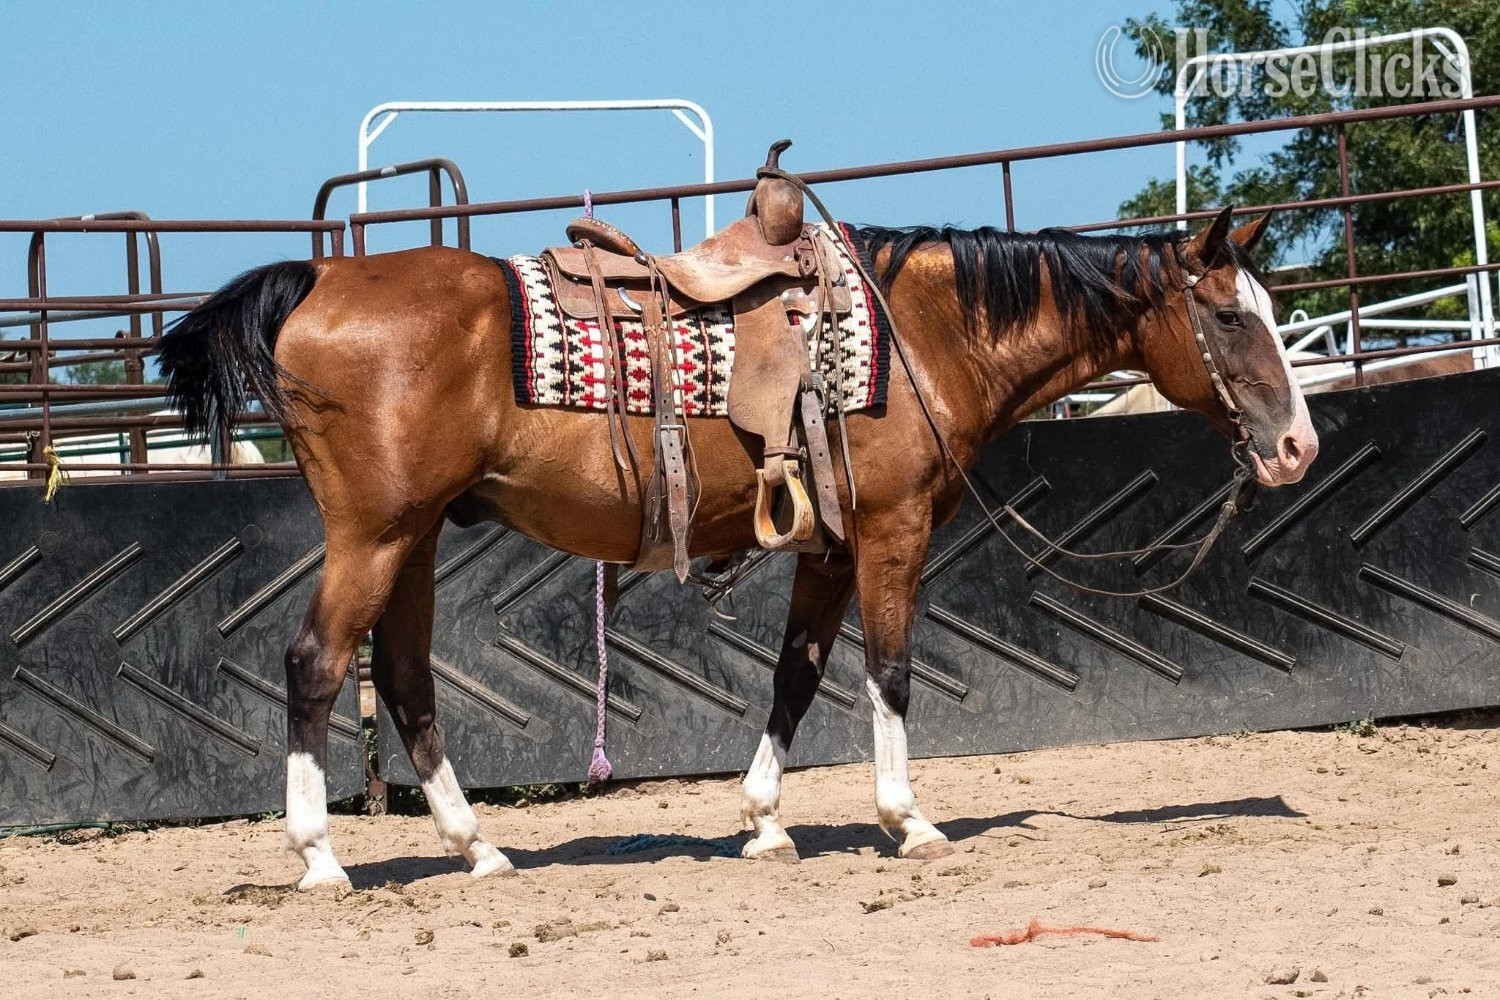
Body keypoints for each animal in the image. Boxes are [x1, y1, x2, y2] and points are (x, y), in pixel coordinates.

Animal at [158, 204, 1318, 890]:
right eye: (1229, 315)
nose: (1297, 445)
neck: (918, 333)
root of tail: (318, 281)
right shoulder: (891, 533)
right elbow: (890, 671)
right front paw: (908, 819)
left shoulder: (830, 548)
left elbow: (795, 674)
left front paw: (764, 821)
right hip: (376, 533)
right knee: (315, 665)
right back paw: (320, 857)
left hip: (415, 539)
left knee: (402, 678)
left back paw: (477, 847)